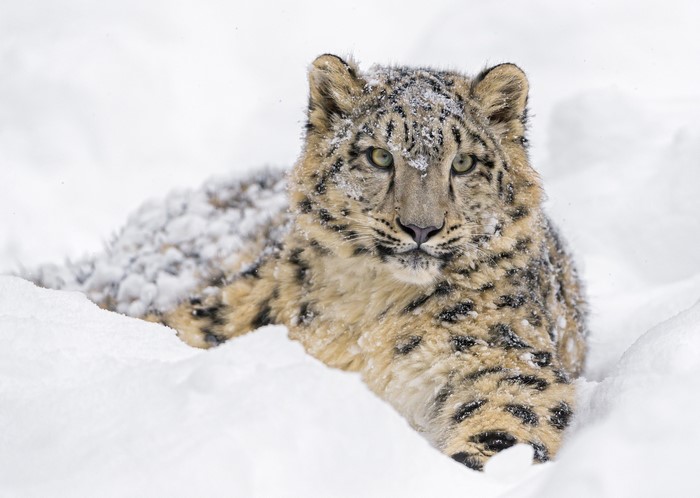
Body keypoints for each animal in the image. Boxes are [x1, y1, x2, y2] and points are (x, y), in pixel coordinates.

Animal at [30, 54, 587, 470]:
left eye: (465, 163)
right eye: (379, 156)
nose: (421, 229)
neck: (369, 315)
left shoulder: (506, 360)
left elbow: (509, 423)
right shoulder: (224, 317)